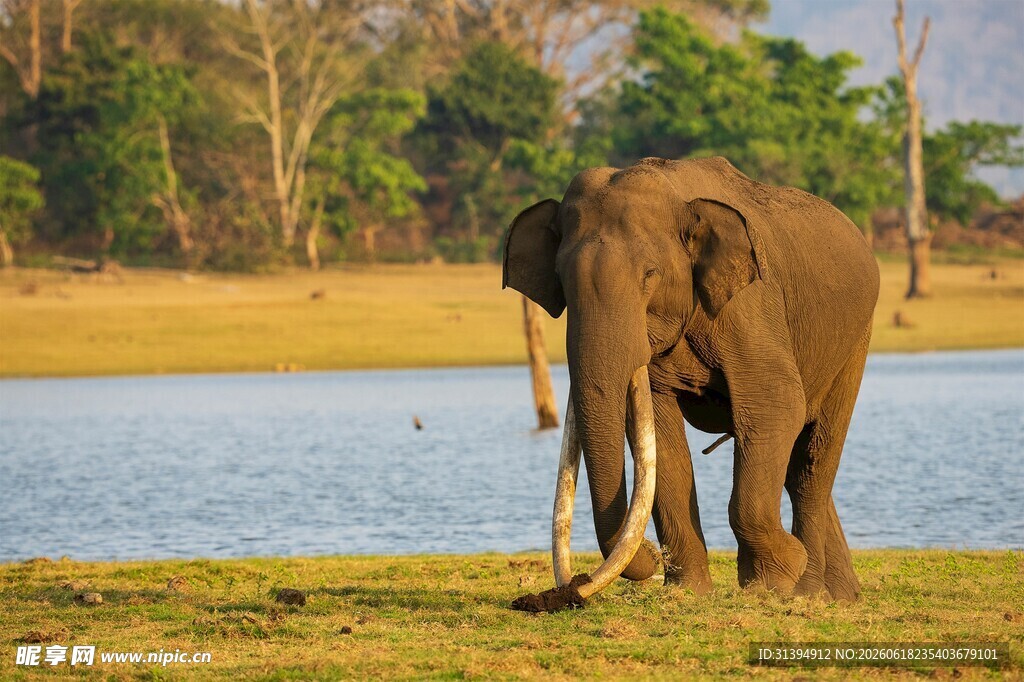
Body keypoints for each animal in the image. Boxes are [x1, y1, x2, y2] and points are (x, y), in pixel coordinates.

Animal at [503, 156, 878, 605]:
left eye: (649, 275)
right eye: (560, 279)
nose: (568, 592)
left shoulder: (750, 306)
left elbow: (776, 405)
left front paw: (774, 580)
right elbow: (659, 437)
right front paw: (689, 592)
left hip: (855, 338)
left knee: (812, 460)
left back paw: (808, 591)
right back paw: (841, 595)